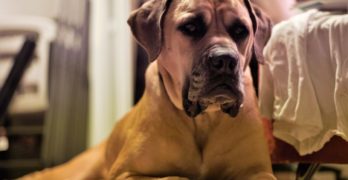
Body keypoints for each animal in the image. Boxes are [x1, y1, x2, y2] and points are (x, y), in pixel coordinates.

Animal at [23, 0, 276, 179]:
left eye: (241, 30)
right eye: (190, 27)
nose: (225, 60)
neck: (204, 119)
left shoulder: (260, 171)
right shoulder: (126, 173)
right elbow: (175, 177)